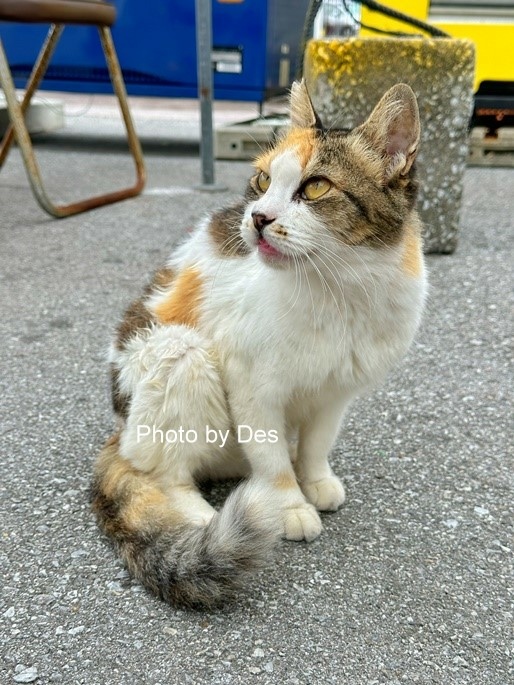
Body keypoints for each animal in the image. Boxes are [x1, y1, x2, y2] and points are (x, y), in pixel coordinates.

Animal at [91, 81, 424, 608]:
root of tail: (119, 429)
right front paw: (288, 505)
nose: (259, 217)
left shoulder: (335, 393)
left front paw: (315, 480)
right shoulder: (251, 386)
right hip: (180, 352)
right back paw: (203, 525)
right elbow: (270, 459)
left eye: (316, 187)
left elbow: (317, 444)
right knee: (164, 474)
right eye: (263, 179)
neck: (340, 290)